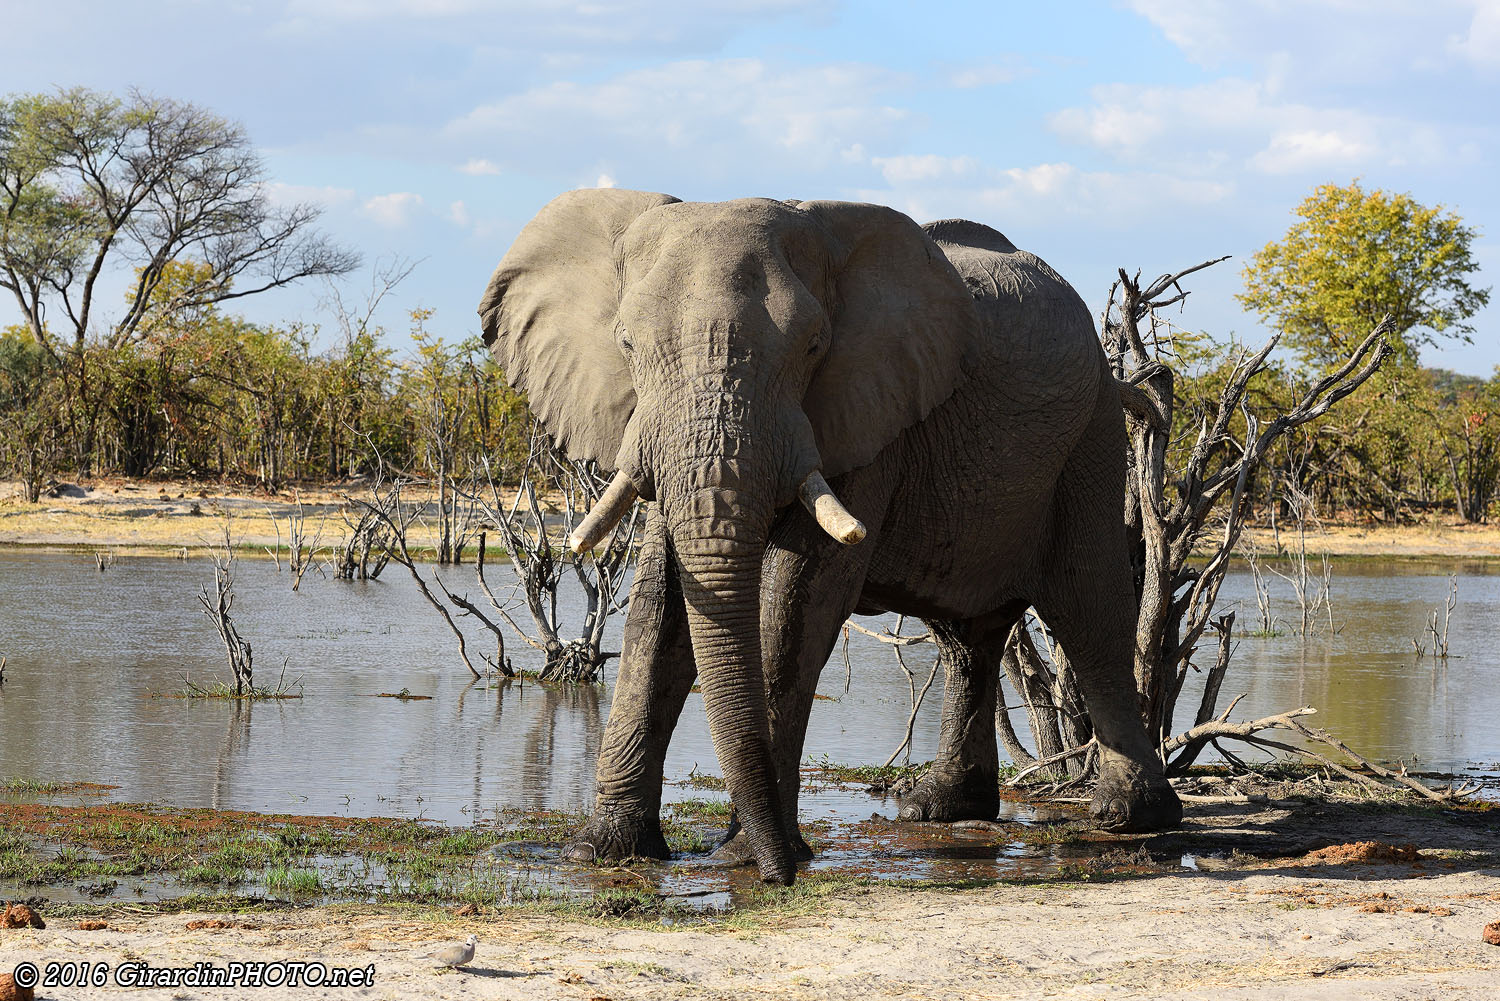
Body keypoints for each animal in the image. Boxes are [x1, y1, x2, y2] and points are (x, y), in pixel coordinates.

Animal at [477, 189, 1182, 885]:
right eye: (626, 344)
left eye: (815, 346)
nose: (780, 874)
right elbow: (661, 602)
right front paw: (604, 851)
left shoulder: (867, 412)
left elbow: (798, 597)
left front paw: (743, 856)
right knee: (967, 637)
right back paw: (939, 808)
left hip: (1089, 438)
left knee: (1090, 610)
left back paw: (1130, 817)